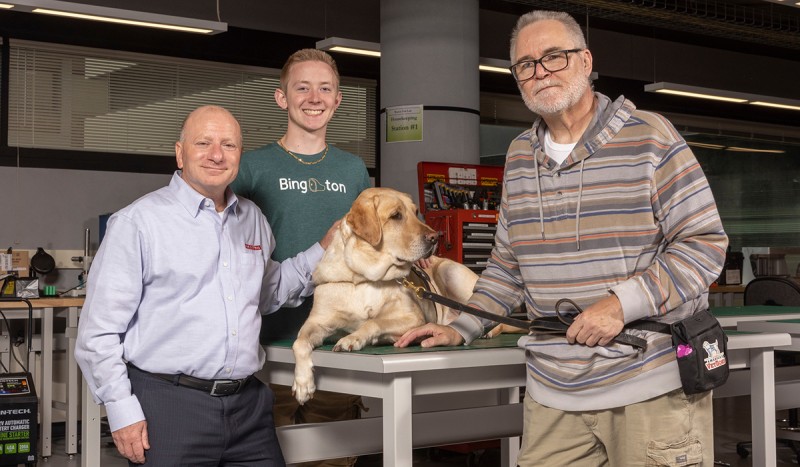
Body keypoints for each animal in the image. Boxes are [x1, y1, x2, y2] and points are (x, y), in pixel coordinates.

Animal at [294, 188, 482, 404]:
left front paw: (352, 338)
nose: (435, 237)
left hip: (450, 270)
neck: (364, 276)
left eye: (415, 212)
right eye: (396, 215)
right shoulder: (317, 322)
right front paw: (302, 383)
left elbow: (373, 322)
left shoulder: (412, 317)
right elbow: (298, 343)